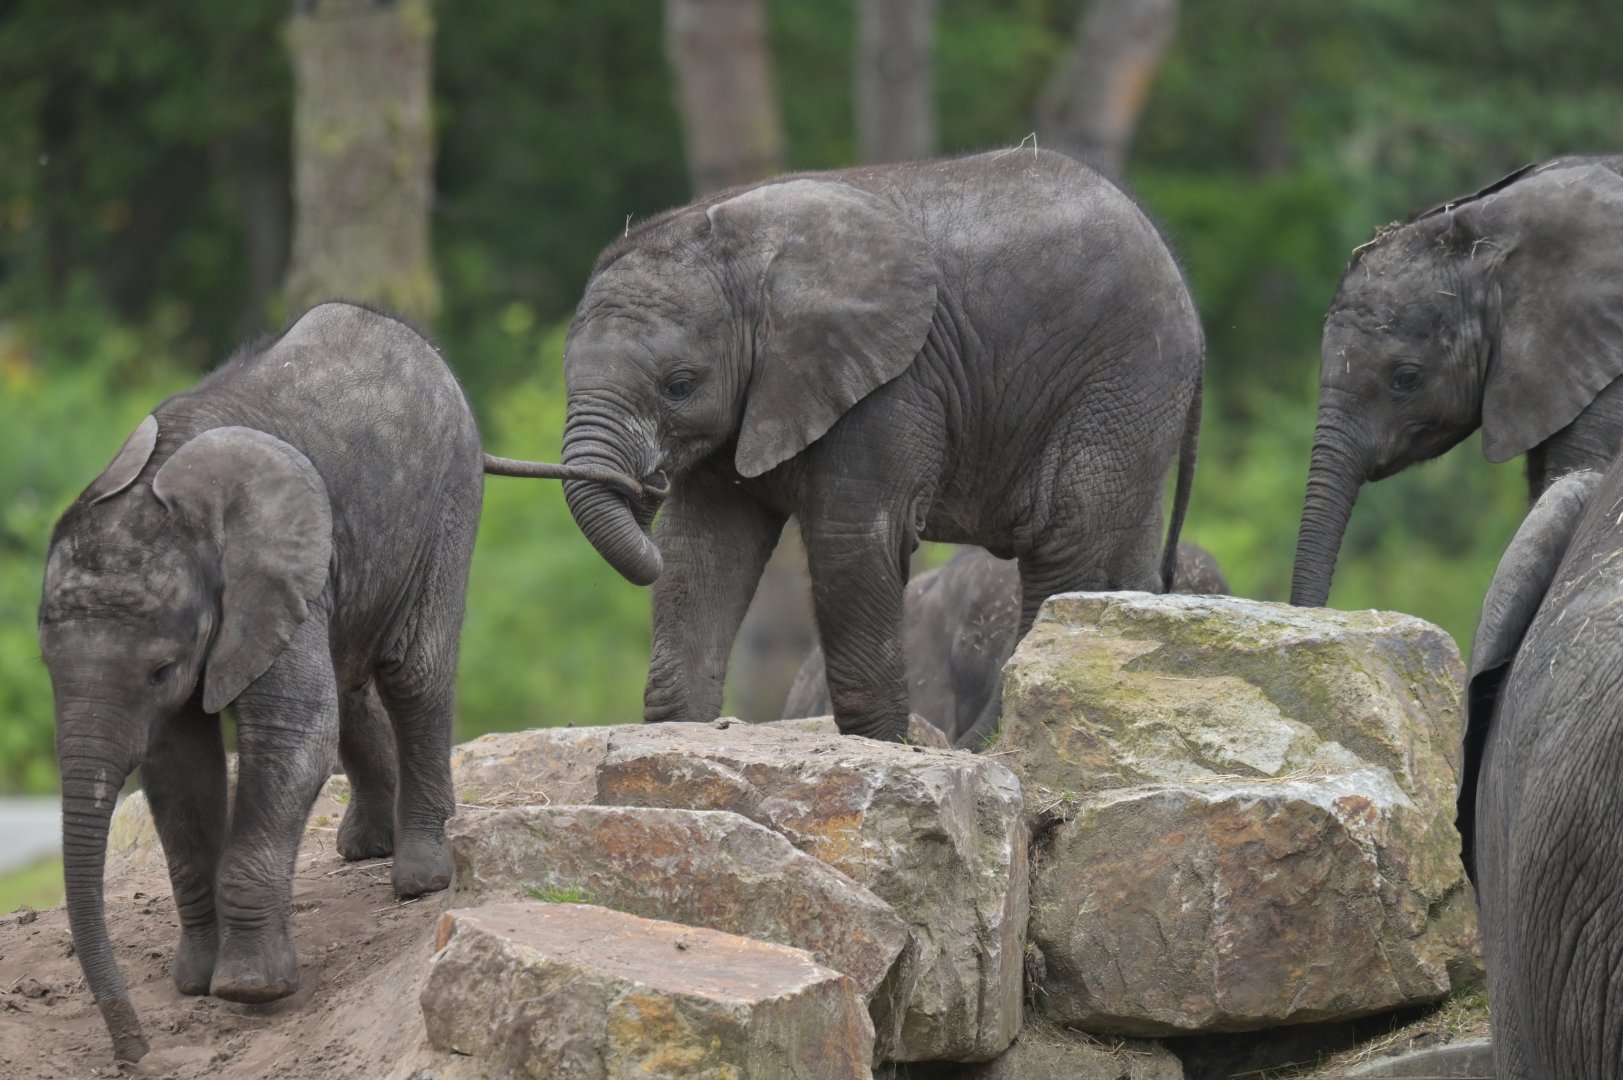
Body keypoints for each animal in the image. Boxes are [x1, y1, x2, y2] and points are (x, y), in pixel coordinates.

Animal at [38, 302, 592, 1063]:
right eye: (46, 666)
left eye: (159, 670)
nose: (134, 1051)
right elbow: (179, 767)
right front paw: (195, 984)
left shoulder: (272, 572)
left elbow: (293, 731)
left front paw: (249, 990)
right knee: (351, 680)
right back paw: (366, 848)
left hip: (447, 501)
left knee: (412, 672)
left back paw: (419, 876)